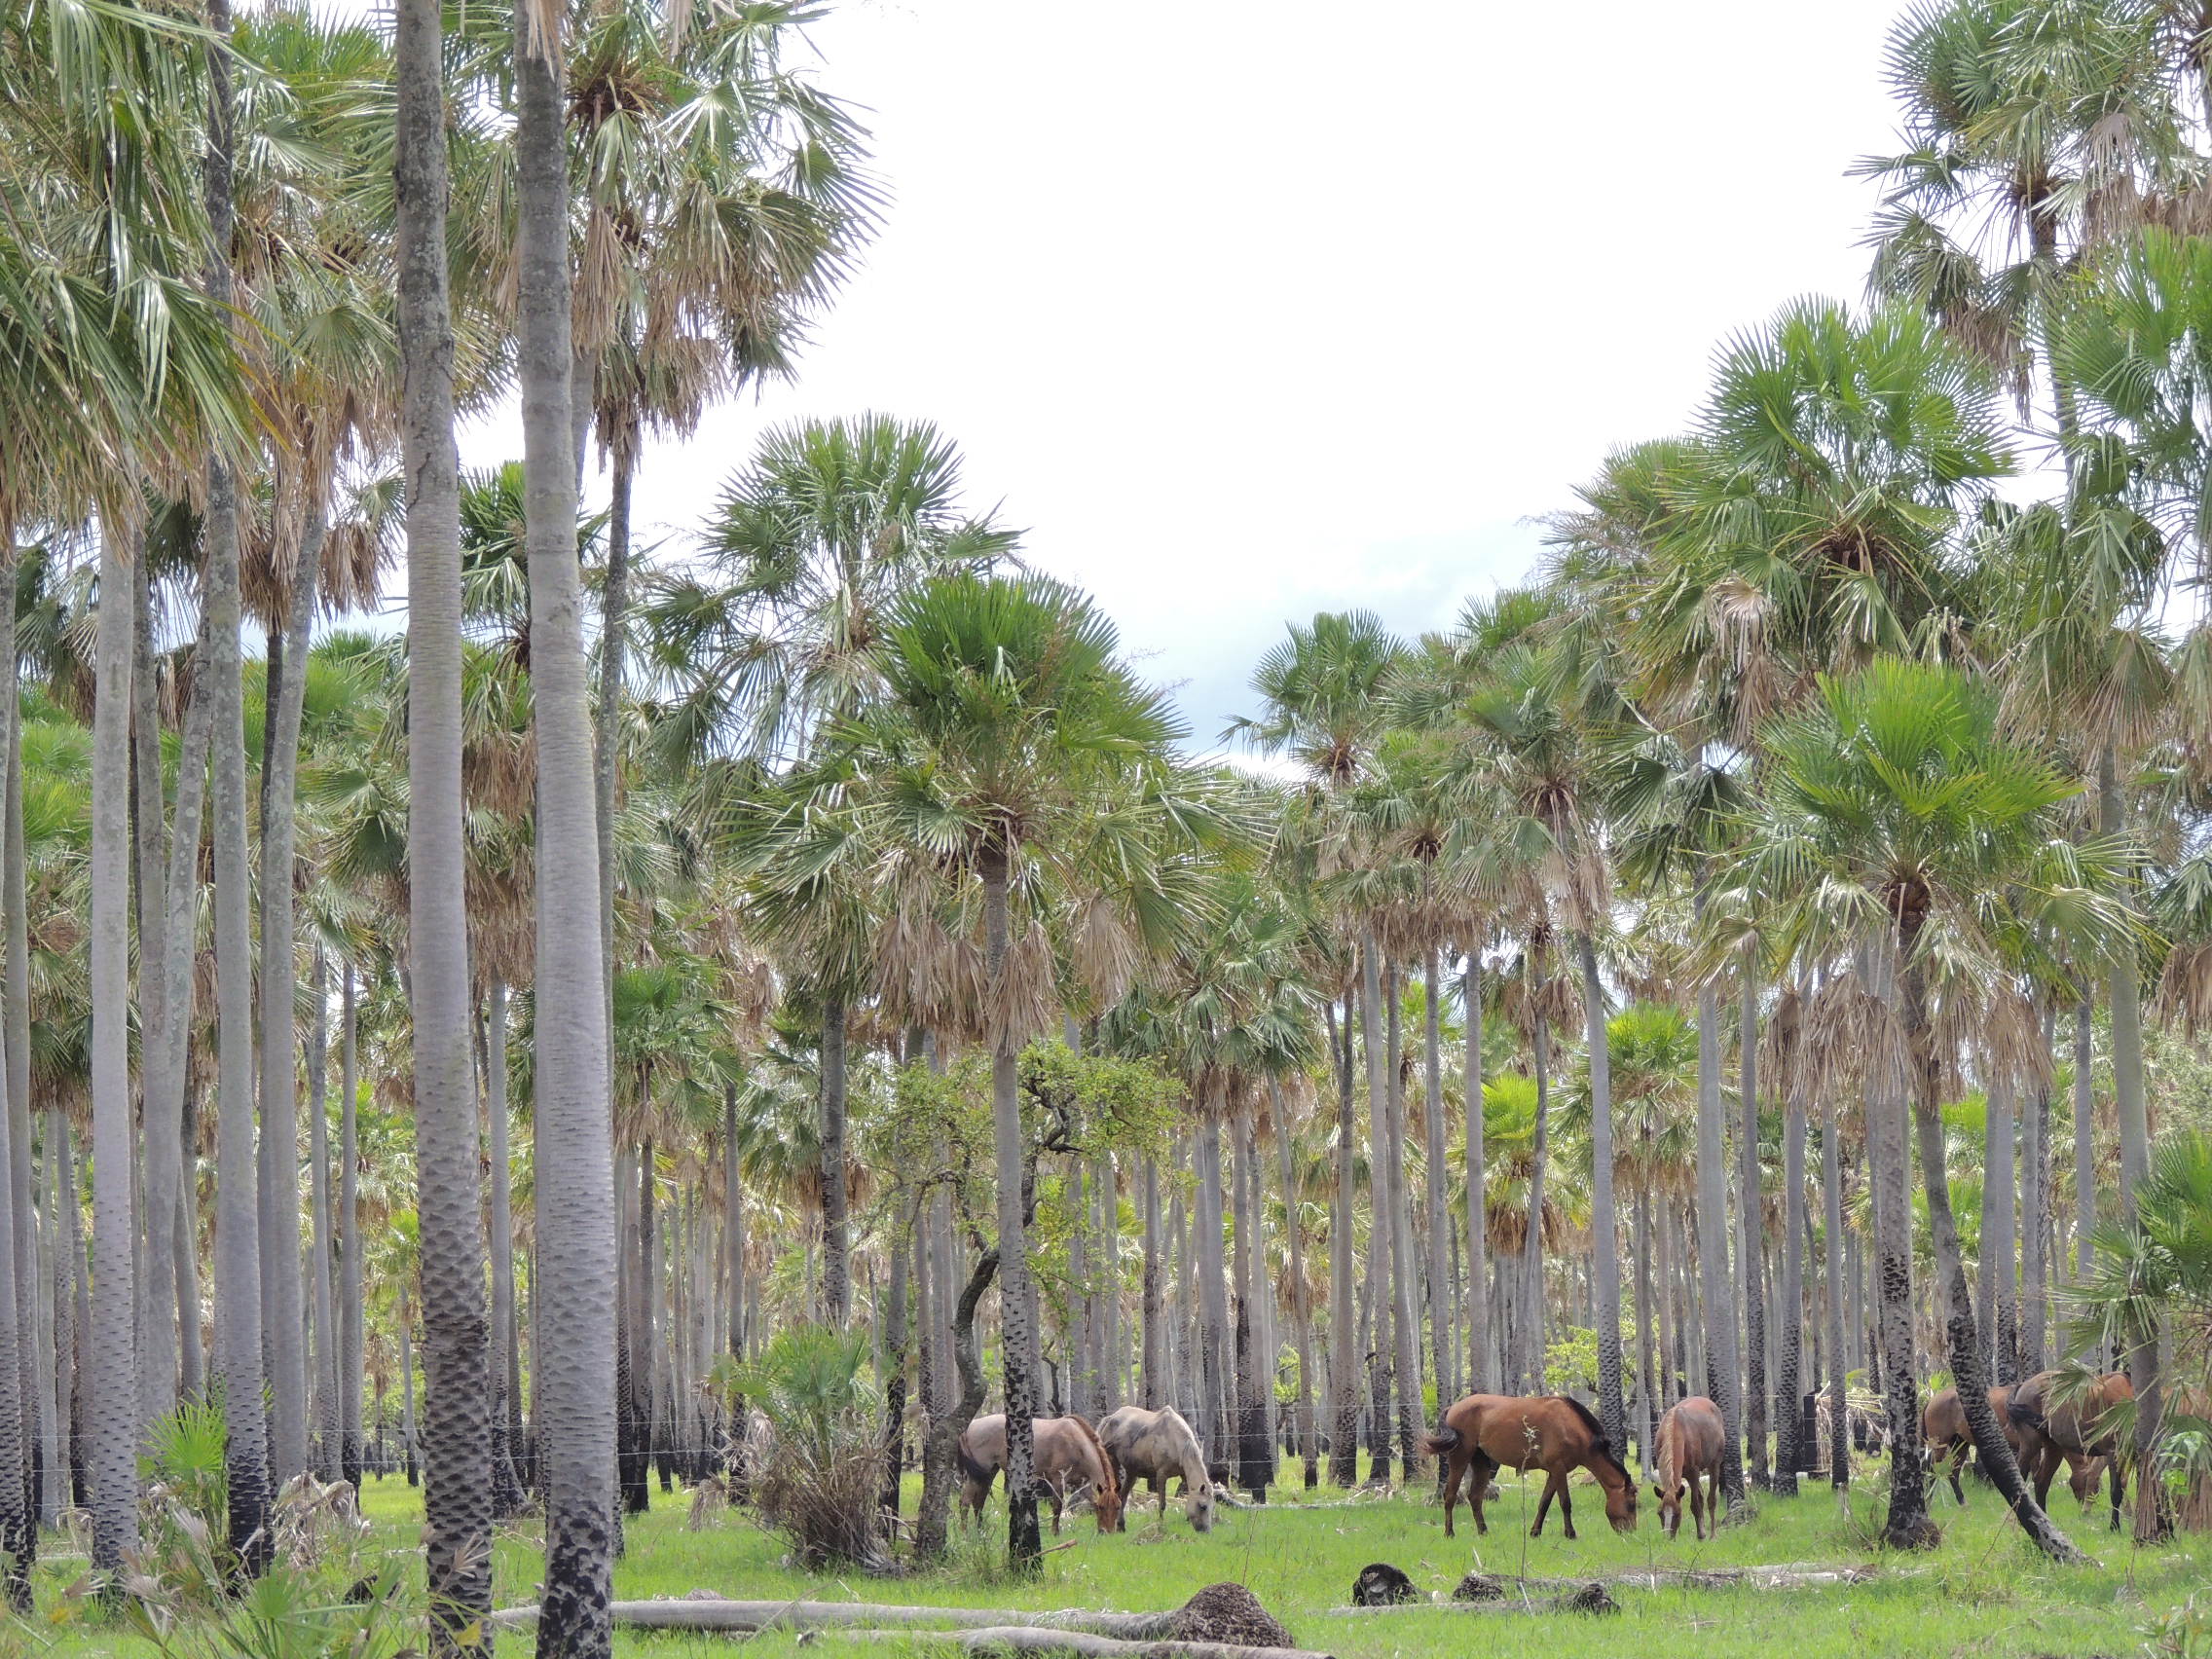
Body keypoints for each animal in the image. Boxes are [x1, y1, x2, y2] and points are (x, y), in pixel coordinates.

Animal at [955, 1424, 1124, 1539]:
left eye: (1118, 1506)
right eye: (1103, 1507)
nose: (1108, 1532)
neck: (1075, 1442)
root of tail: (969, 1428)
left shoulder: (1082, 1484)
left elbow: (1091, 1502)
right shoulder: (1057, 1480)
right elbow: (1057, 1507)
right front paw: (1055, 1532)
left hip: (988, 1473)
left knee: (978, 1503)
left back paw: (980, 1531)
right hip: (977, 1475)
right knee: (965, 1502)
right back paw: (964, 1533)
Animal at [1416, 1388, 1645, 1548]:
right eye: (1631, 1504)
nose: (1631, 1531)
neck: (1571, 1427)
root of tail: (1453, 1408)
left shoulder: (1554, 1472)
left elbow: (1544, 1503)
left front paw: (1535, 1532)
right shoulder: (1558, 1469)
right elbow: (1565, 1503)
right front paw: (1570, 1533)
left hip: (1481, 1462)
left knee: (1475, 1497)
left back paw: (1483, 1531)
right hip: (1460, 1457)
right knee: (1450, 1495)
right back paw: (1449, 1533)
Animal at [1654, 1406, 1716, 1548]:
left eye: (1677, 1514)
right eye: (1660, 1513)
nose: (1667, 1539)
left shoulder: (1694, 1472)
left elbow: (1695, 1505)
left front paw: (1701, 1535)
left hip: (1714, 1464)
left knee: (1711, 1499)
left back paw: (1712, 1535)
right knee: (1701, 1495)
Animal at [2008, 1371, 2123, 1530]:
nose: (2083, 1506)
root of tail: (2024, 1385)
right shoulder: (2113, 1452)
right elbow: (2116, 1491)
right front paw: (2114, 1526)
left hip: (2054, 1449)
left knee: (2042, 1482)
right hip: (2030, 1445)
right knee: (2020, 1477)